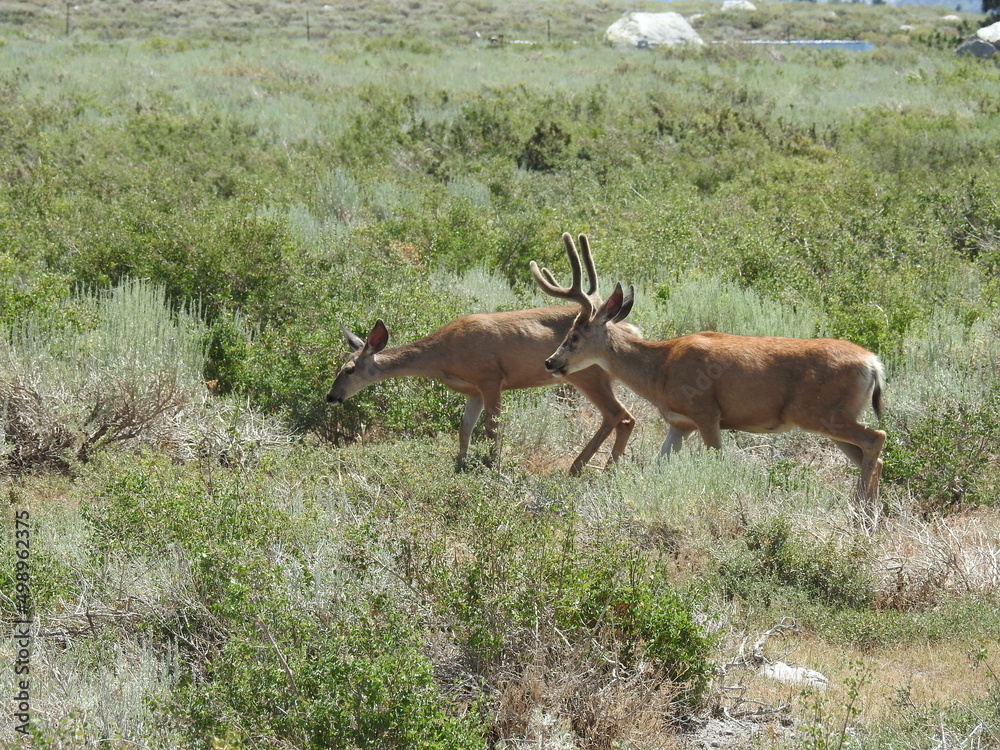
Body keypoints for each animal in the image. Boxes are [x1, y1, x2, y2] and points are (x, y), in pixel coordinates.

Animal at [326, 234, 635, 475]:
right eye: (339, 367)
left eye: (349, 369)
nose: (331, 396)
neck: (443, 355)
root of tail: (629, 327)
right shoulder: (472, 389)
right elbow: (464, 429)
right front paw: (461, 465)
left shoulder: (490, 377)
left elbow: (492, 428)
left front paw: (494, 467)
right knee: (627, 418)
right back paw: (609, 469)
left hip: (587, 373)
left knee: (615, 413)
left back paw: (577, 467)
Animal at [530, 239, 887, 504]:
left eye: (574, 336)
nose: (550, 362)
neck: (660, 370)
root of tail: (873, 363)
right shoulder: (680, 423)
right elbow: (658, 465)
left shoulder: (706, 411)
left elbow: (718, 460)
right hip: (834, 418)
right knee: (874, 454)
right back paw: (871, 513)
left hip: (820, 412)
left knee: (877, 438)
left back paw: (860, 509)